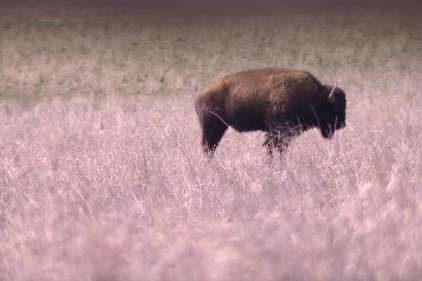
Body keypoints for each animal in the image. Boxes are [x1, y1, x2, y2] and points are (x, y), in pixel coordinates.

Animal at [195, 67, 346, 156]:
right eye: (336, 107)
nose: (342, 125)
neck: (314, 96)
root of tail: (200, 95)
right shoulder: (278, 133)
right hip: (213, 128)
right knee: (208, 147)